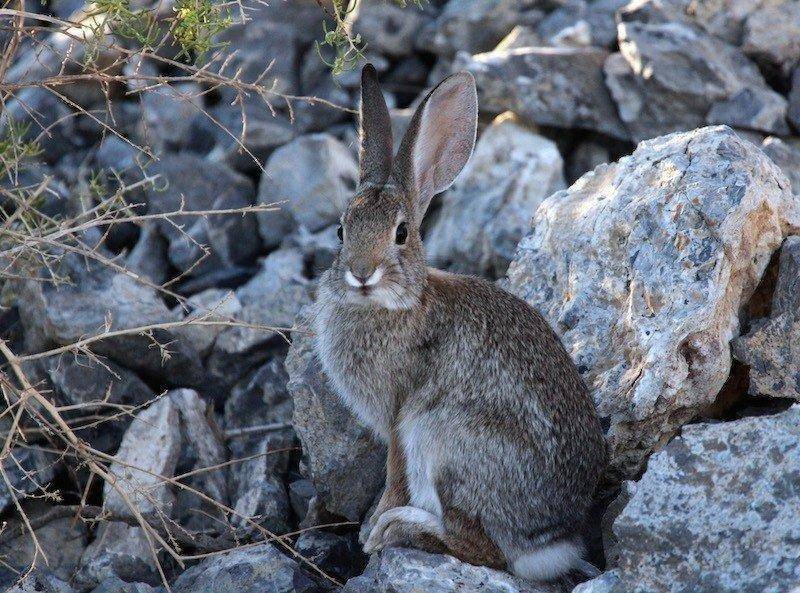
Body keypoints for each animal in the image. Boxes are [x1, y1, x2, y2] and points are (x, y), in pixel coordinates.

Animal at [312, 65, 608, 584]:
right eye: (341, 230)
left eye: (402, 233)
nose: (361, 273)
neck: (398, 304)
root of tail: (552, 543)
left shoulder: (400, 417)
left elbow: (394, 473)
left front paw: (370, 531)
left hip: (443, 439)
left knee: (481, 548)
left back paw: (401, 529)